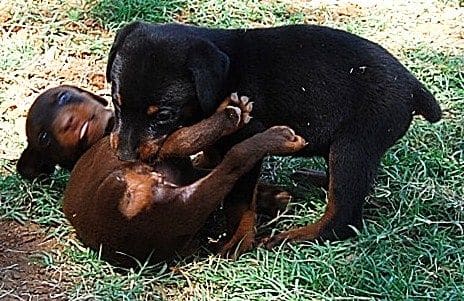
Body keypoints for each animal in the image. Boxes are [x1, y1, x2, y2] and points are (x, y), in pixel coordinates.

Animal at [106, 22, 442, 250]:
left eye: (163, 115)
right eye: (116, 102)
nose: (123, 157)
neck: (227, 75)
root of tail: (414, 88)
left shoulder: (246, 137)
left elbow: (238, 198)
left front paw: (236, 242)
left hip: (355, 143)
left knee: (342, 216)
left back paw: (293, 236)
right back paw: (312, 180)